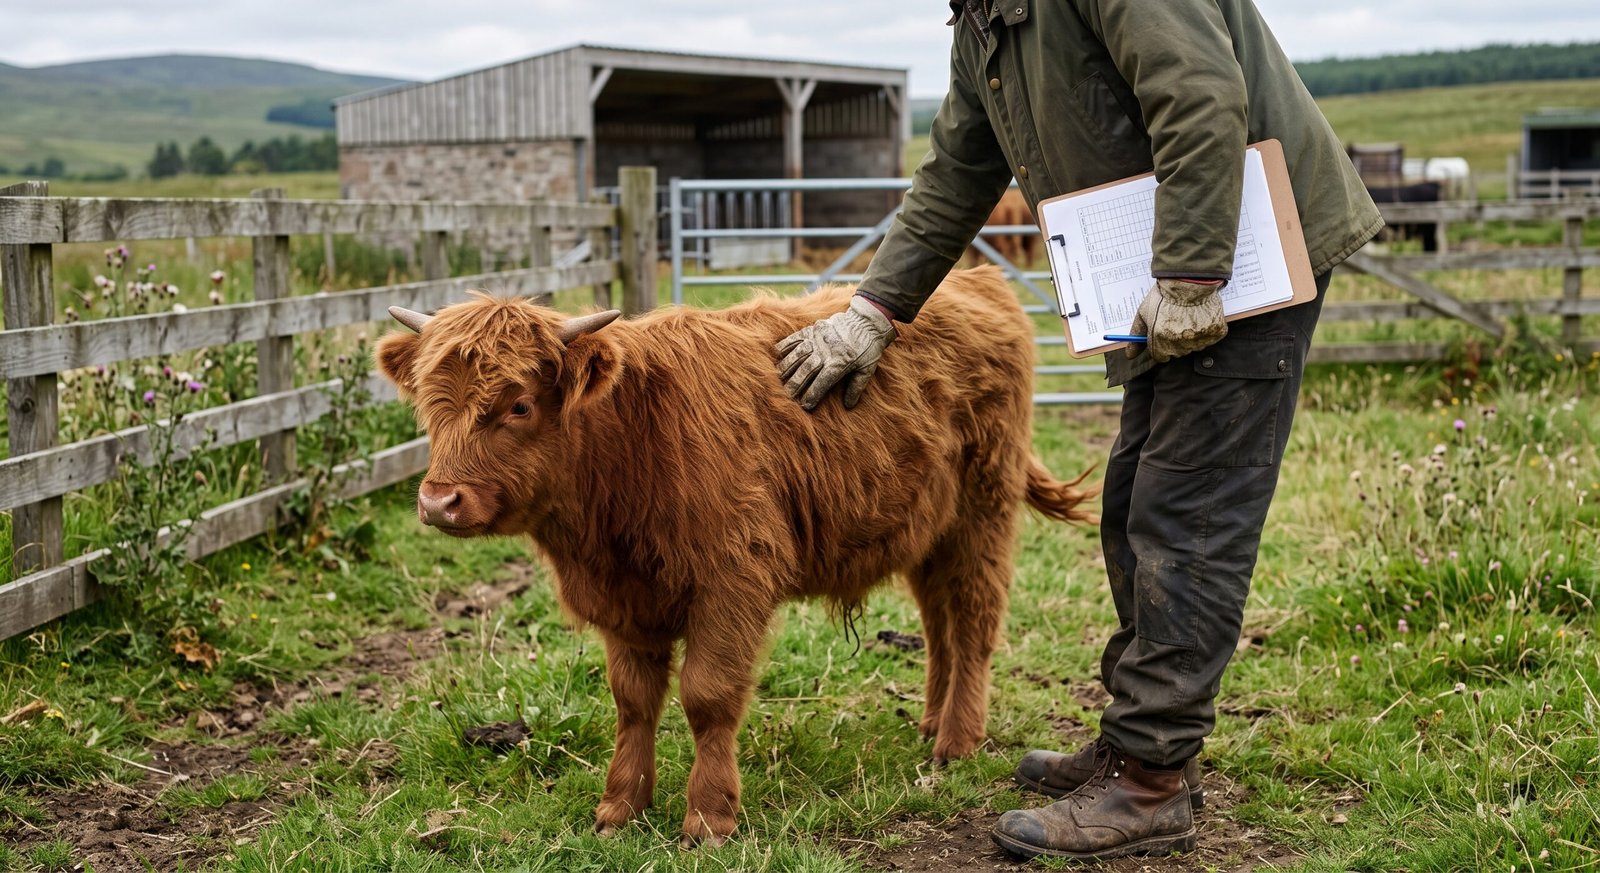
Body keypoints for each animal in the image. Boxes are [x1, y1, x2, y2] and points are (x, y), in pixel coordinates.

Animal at [375, 266, 1098, 847]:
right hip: (929, 529)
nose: (439, 500)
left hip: (983, 512)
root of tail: (975, 279)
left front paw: (708, 817)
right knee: (940, 623)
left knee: (973, 618)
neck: (631, 445)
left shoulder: (732, 579)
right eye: (430, 405)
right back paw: (930, 723)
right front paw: (620, 807)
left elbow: (707, 695)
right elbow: (633, 700)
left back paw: (956, 742)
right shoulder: (626, 598)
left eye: (519, 404)